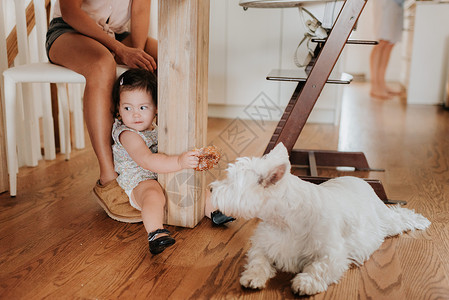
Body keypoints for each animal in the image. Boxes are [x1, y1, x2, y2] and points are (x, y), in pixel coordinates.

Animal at [210, 143, 430, 296]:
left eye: (231, 182)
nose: (211, 189)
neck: (284, 219)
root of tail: (361, 181)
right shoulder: (264, 244)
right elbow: (258, 260)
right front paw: (252, 277)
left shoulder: (332, 253)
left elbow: (318, 267)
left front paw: (304, 283)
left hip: (385, 220)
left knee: (401, 216)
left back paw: (421, 220)